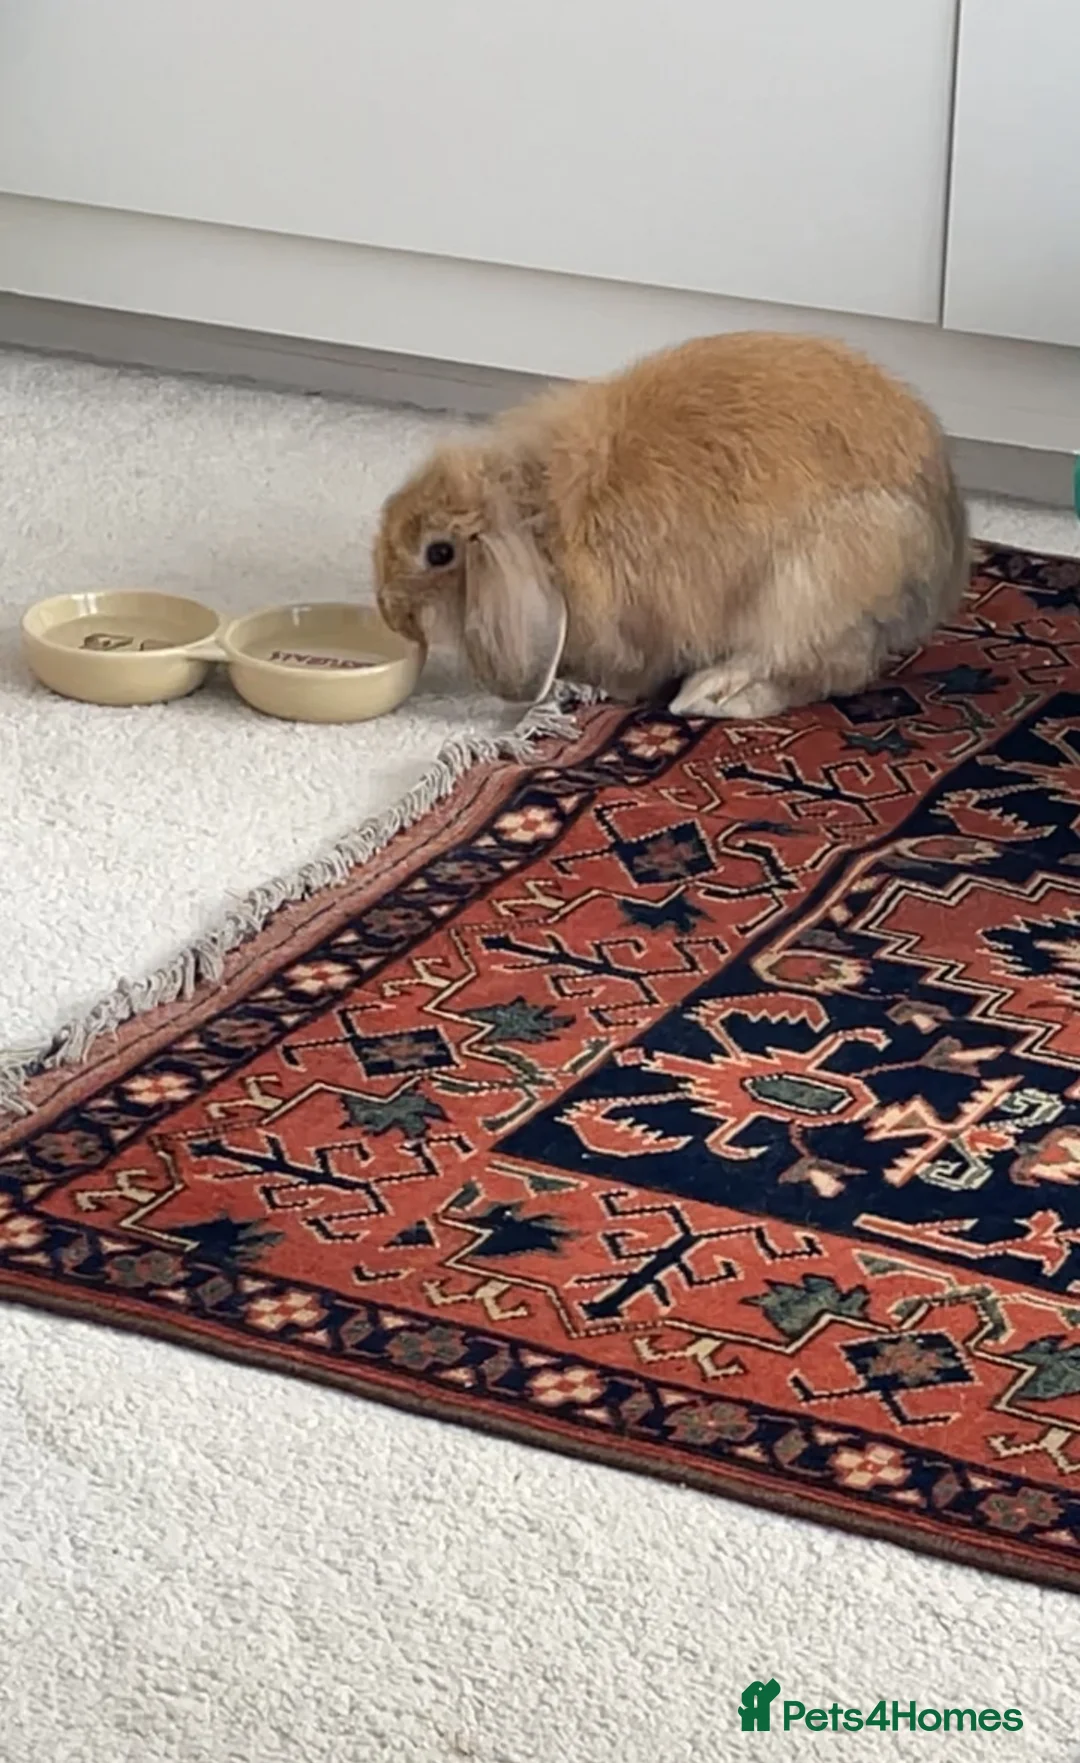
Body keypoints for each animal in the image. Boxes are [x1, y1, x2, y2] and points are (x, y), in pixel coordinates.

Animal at [373, 331, 969, 718]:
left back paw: (711, 696)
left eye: (438, 552)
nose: (390, 611)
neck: (536, 523)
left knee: (817, 669)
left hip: (808, 588)